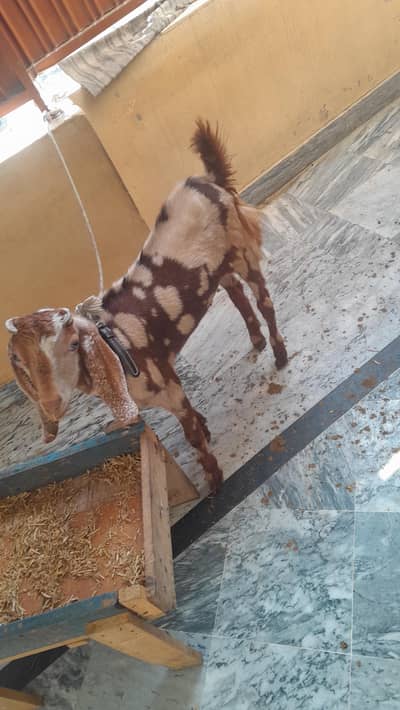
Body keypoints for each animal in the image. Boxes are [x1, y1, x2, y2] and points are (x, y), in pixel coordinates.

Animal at [5, 120, 287, 494]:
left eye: (74, 344)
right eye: (19, 360)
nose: (52, 404)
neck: (115, 345)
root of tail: (205, 180)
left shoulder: (167, 386)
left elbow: (191, 434)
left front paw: (214, 479)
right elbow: (194, 418)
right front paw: (207, 432)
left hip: (242, 249)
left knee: (263, 300)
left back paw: (279, 354)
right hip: (219, 269)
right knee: (238, 297)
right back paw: (256, 341)